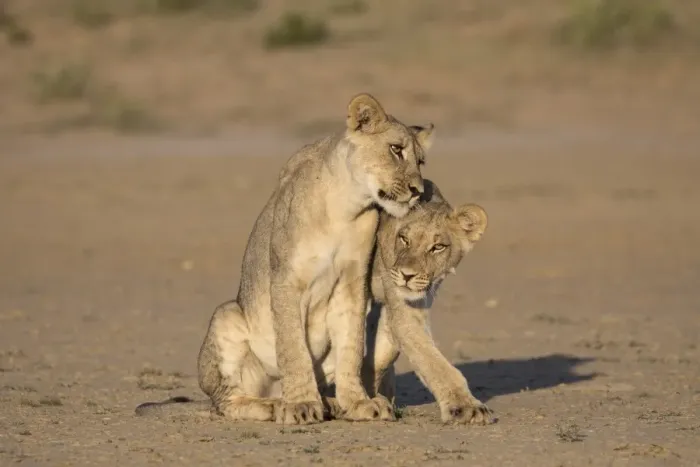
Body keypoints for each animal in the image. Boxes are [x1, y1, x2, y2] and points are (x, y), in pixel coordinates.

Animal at [135, 94, 435, 425]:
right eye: (396, 150)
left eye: (421, 161)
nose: (417, 191)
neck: (347, 207)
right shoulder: (286, 280)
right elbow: (293, 348)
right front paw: (300, 405)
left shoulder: (353, 285)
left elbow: (352, 346)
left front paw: (358, 403)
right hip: (227, 316)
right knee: (226, 402)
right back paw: (276, 404)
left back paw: (330, 403)